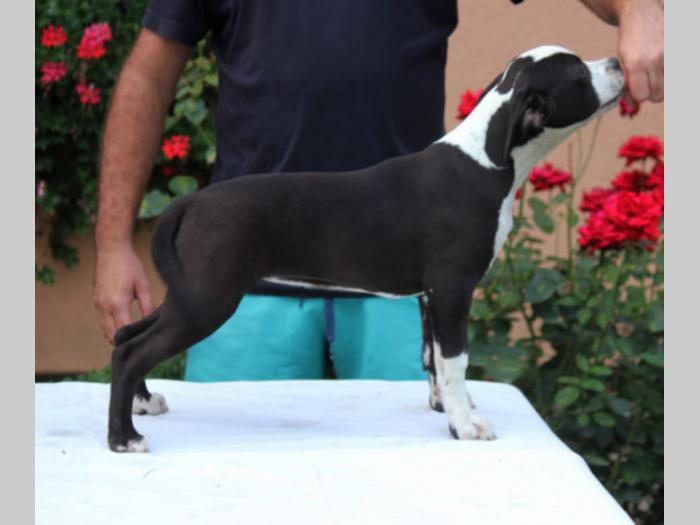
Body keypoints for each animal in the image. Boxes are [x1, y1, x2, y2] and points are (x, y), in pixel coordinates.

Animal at [108, 45, 624, 452]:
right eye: (579, 74)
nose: (619, 62)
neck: (487, 157)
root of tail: (192, 200)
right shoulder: (454, 287)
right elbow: (456, 358)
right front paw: (465, 426)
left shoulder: (431, 295)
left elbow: (435, 358)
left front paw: (445, 407)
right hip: (209, 298)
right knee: (134, 351)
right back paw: (123, 439)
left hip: (190, 292)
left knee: (126, 336)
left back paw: (144, 403)